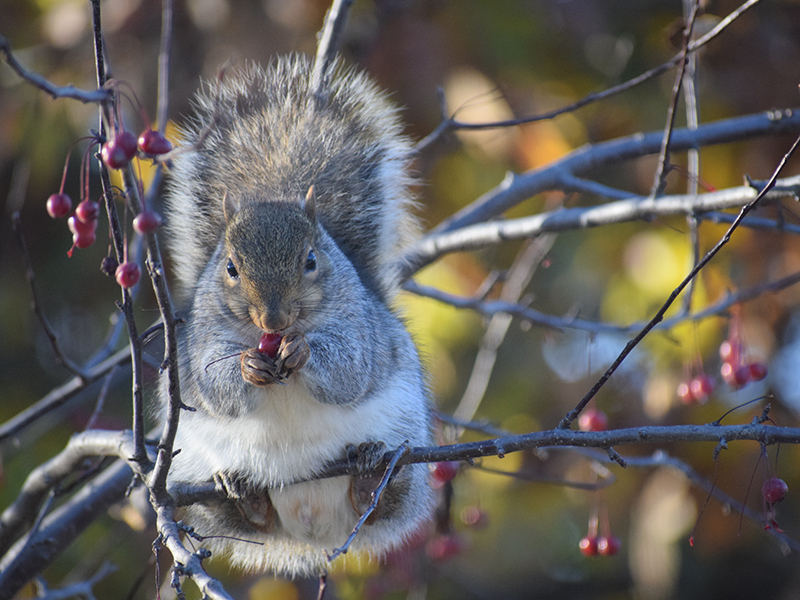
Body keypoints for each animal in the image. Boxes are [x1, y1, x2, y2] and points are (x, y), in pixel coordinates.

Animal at [159, 55, 435, 577]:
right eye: (230, 268)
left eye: (311, 260)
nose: (274, 322)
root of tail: (312, 530)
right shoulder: (203, 339)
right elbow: (215, 386)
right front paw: (247, 366)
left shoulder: (358, 328)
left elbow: (349, 371)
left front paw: (304, 350)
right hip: (195, 481)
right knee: (249, 519)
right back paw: (241, 493)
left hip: (408, 448)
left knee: (388, 502)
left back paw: (372, 474)